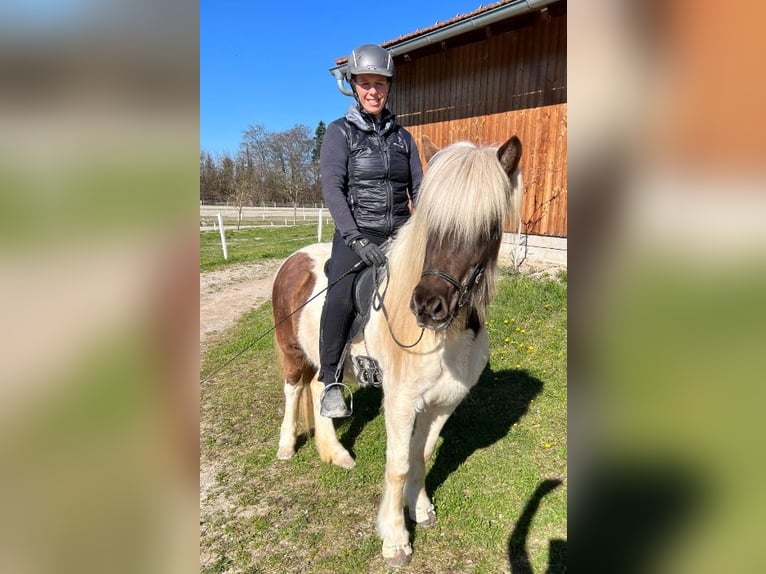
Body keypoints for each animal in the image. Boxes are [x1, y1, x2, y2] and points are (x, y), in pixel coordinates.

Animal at [271, 134, 523, 567]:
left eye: (489, 227)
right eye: (431, 221)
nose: (428, 305)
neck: (447, 337)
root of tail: (294, 259)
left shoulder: (443, 402)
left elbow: (422, 455)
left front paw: (420, 509)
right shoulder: (402, 402)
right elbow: (399, 464)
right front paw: (395, 538)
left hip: (325, 360)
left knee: (321, 389)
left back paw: (336, 453)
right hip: (292, 352)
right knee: (292, 391)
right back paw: (287, 447)